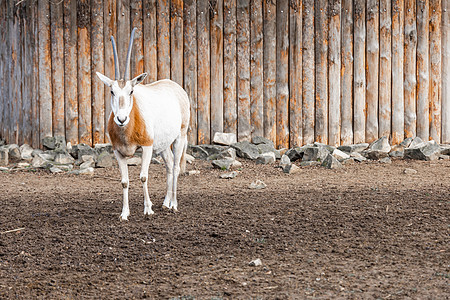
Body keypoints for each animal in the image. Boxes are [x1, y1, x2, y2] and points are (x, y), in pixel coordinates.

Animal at [96, 28, 190, 220]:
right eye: (112, 91)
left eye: (131, 91)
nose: (121, 119)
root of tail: (176, 87)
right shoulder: (118, 152)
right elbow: (124, 181)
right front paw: (124, 213)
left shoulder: (146, 147)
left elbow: (143, 176)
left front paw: (148, 209)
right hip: (162, 145)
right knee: (169, 165)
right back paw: (166, 203)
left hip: (180, 137)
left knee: (176, 167)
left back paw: (174, 205)